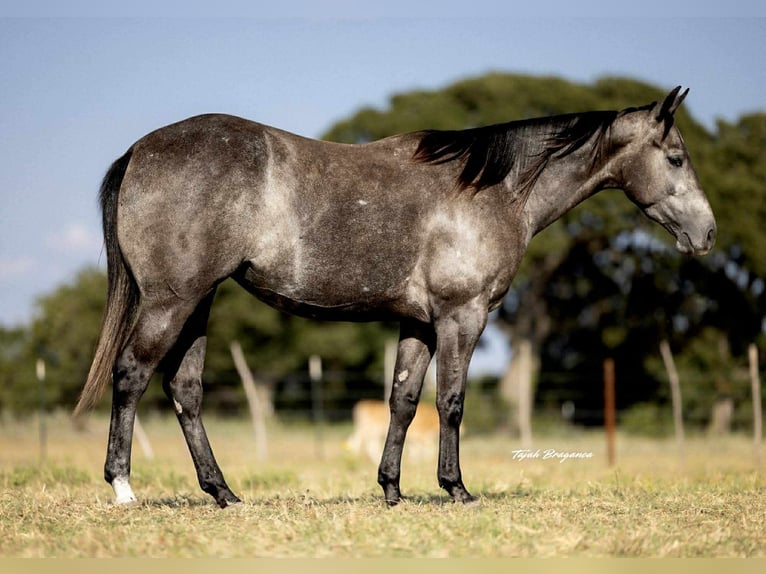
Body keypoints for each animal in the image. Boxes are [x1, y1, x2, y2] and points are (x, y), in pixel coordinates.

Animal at [74, 86, 715, 507]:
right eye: (676, 158)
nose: (707, 235)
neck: (493, 189)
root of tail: (140, 152)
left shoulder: (420, 324)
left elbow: (404, 402)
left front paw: (392, 490)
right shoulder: (461, 318)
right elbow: (451, 402)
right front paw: (456, 489)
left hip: (198, 303)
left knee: (184, 390)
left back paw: (223, 492)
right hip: (171, 300)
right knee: (132, 375)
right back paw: (124, 487)